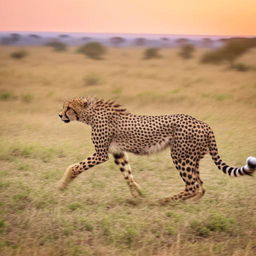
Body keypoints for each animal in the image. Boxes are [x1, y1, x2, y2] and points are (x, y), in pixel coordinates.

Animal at [58, 96, 256, 202]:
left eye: (68, 107)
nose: (59, 115)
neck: (90, 115)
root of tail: (204, 124)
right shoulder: (118, 152)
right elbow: (127, 174)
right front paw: (137, 194)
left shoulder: (101, 154)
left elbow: (75, 167)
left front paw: (62, 185)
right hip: (193, 158)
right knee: (200, 186)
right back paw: (187, 202)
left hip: (180, 156)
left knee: (192, 185)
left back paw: (166, 201)